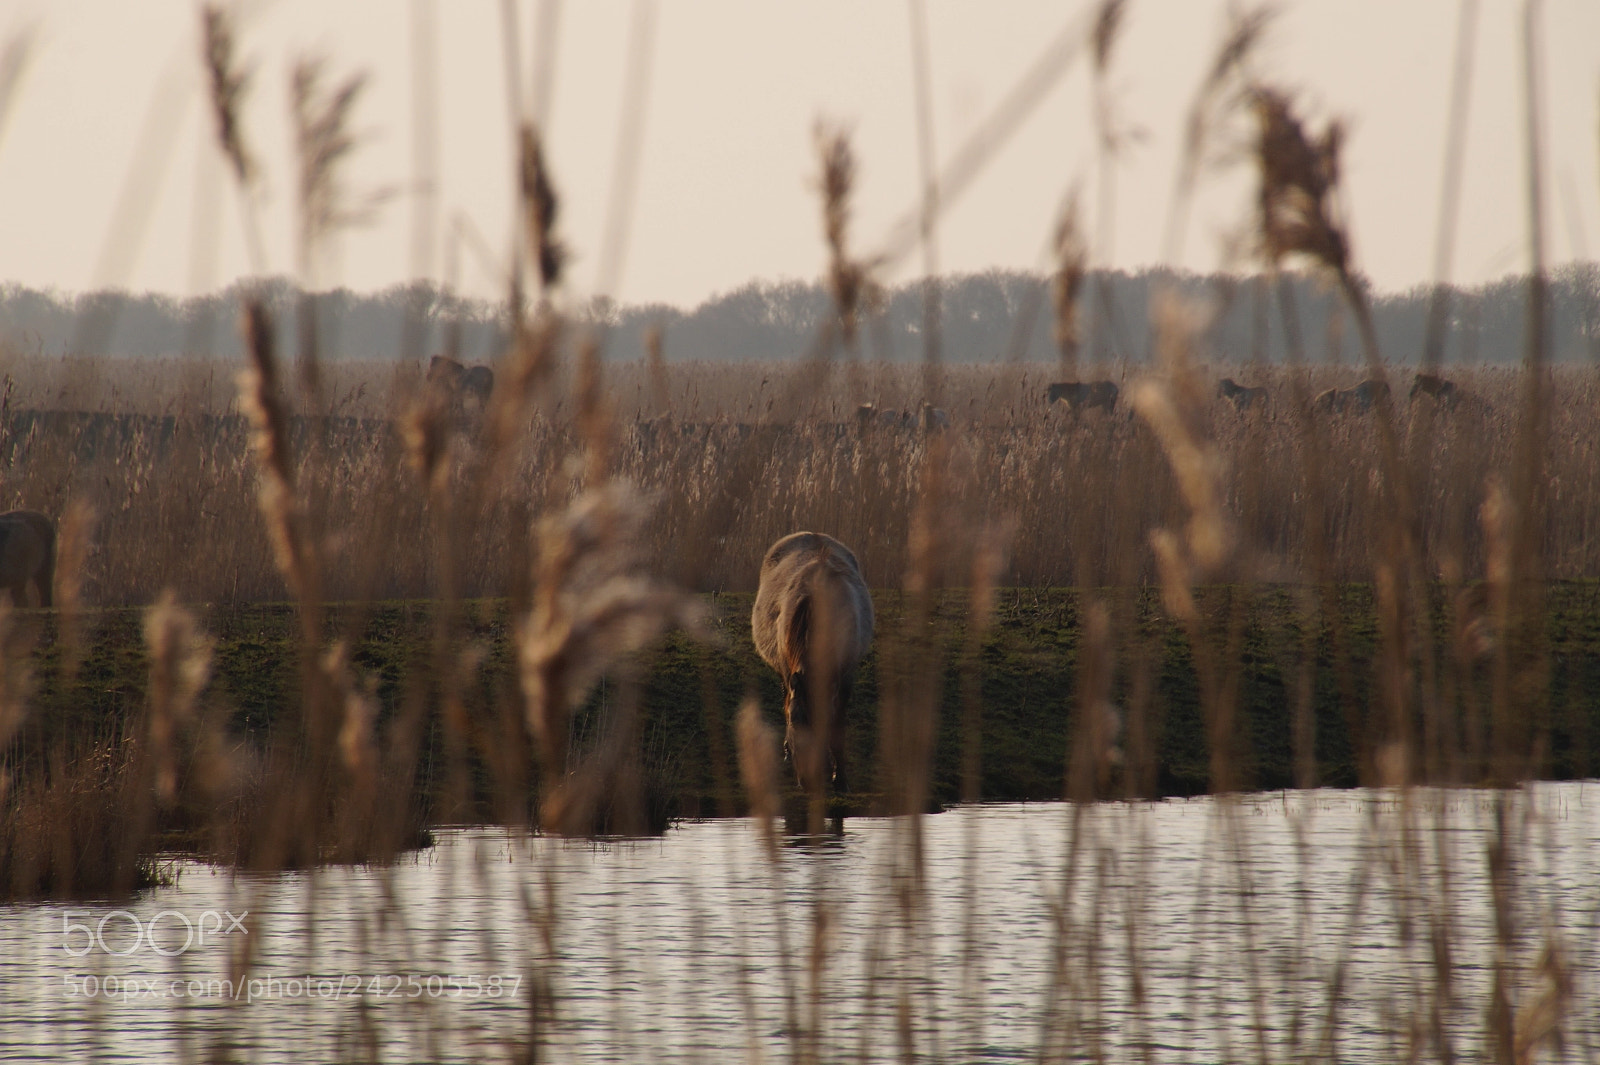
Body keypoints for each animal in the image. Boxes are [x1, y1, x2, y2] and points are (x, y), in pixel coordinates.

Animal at [752, 532, 874, 797]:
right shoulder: (789, 671)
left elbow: (838, 725)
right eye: (794, 725)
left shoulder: (846, 677)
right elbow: (787, 704)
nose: (808, 781)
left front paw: (841, 779)